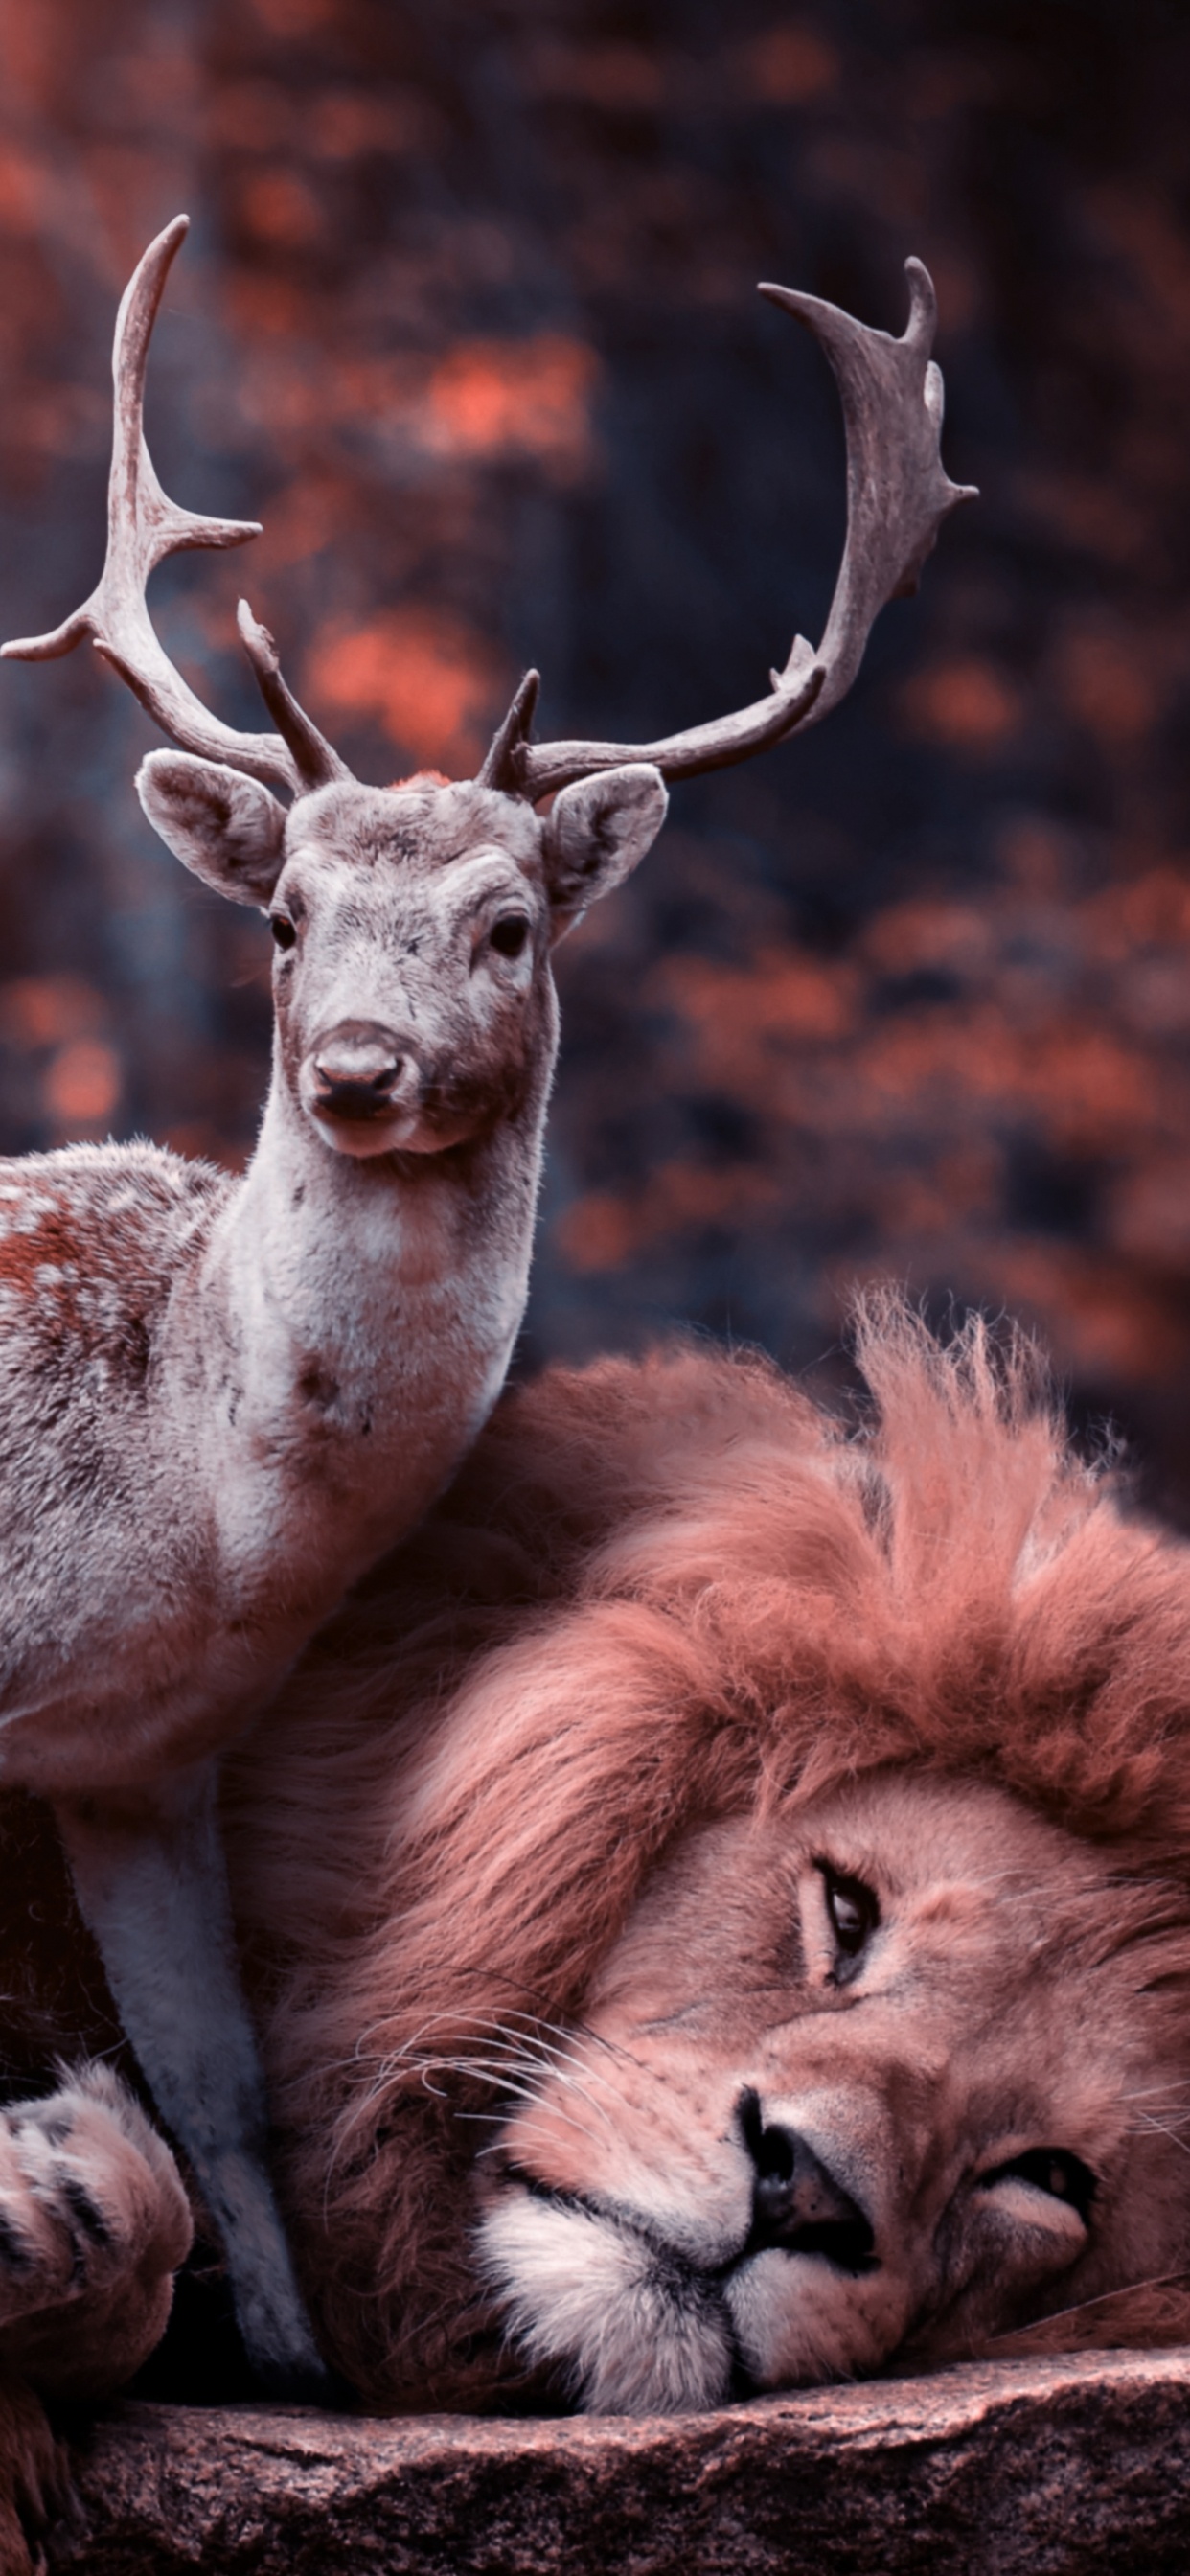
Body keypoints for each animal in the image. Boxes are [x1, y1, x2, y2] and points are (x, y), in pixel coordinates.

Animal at [0, 216, 973, 2390]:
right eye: (286, 918)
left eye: (510, 922)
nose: (357, 1067)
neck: (191, 1521)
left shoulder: (145, 1755)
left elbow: (220, 2085)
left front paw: (294, 2360)